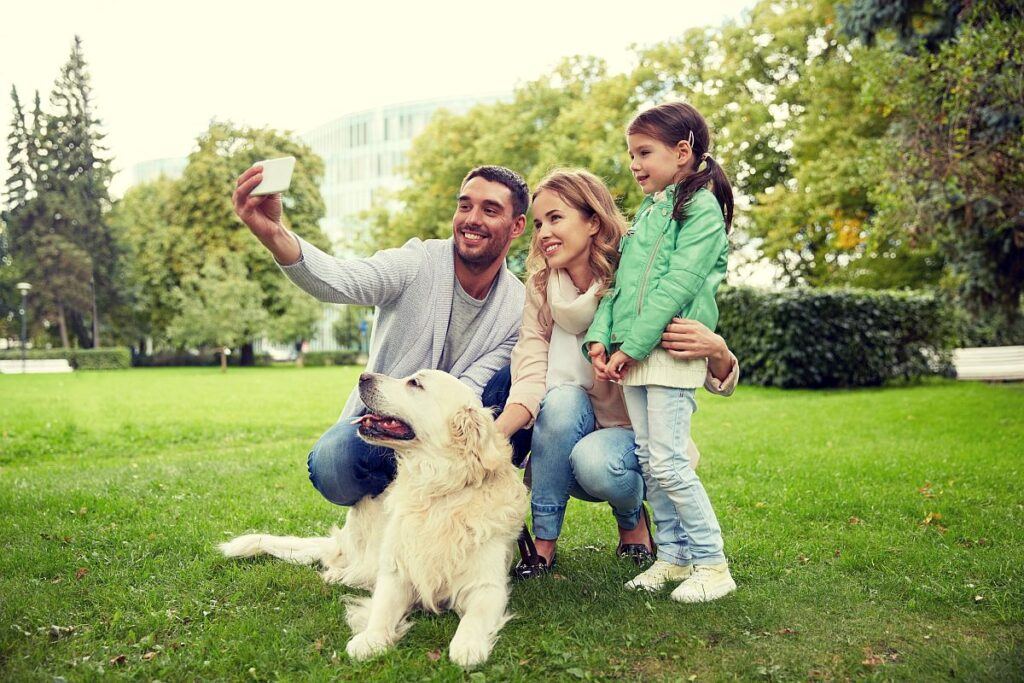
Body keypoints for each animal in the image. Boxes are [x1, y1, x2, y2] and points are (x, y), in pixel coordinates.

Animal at [222, 374, 528, 667]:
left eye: (415, 383)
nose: (362, 376)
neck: (436, 491)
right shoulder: (396, 570)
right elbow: (382, 609)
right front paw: (371, 639)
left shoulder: (487, 586)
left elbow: (473, 619)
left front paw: (467, 646)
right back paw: (337, 574)